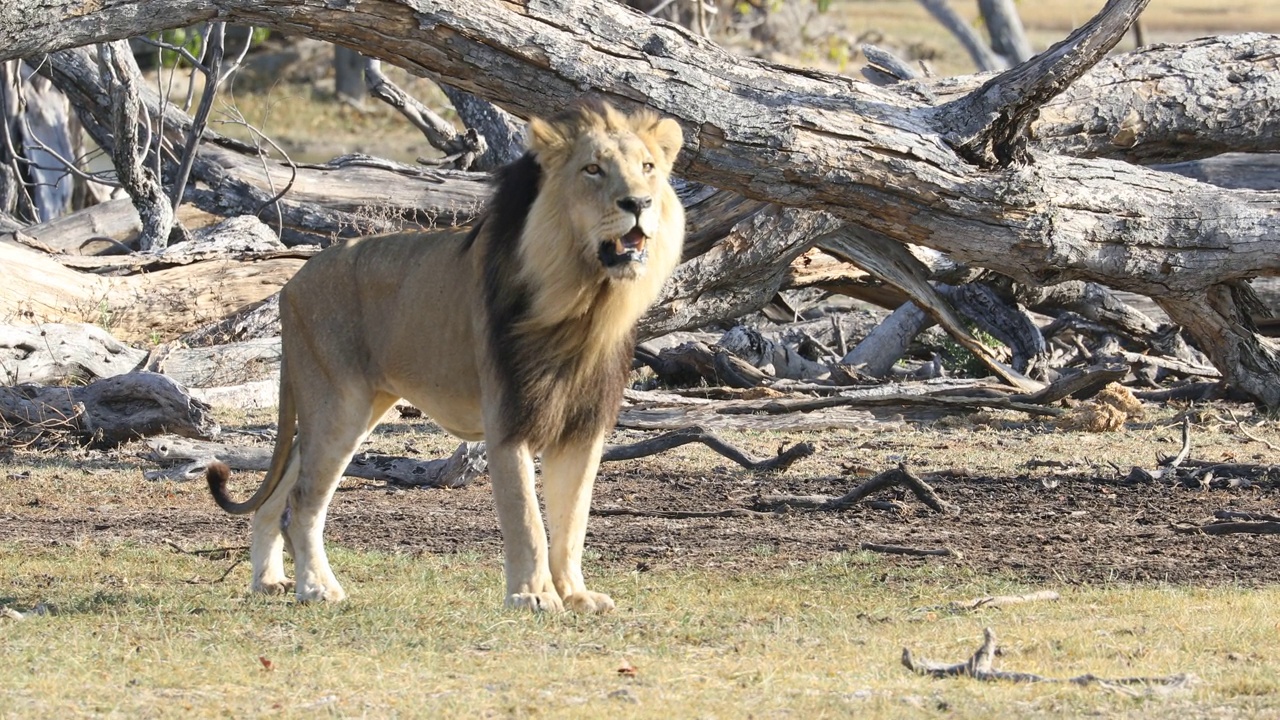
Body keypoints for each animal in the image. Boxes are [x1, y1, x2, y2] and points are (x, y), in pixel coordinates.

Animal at [207, 99, 691, 609]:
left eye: (648, 168)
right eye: (593, 169)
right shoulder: (508, 420)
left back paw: (269, 580)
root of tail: (291, 284)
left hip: (349, 407)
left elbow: (572, 521)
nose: (638, 203)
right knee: (301, 500)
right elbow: (528, 520)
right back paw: (318, 587)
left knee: (279, 492)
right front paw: (534, 598)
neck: (584, 302)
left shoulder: (583, 424)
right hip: (339, 403)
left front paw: (576, 596)